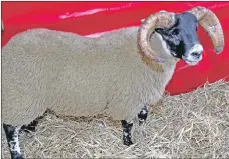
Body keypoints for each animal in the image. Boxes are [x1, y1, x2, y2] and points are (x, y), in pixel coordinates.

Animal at [1, 6, 224, 159]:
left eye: (195, 28)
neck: (148, 54)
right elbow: (127, 124)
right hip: (21, 94)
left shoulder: (141, 95)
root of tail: (8, 49)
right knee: (10, 127)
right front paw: (129, 144)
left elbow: (143, 115)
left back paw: (29, 129)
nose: (197, 53)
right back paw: (17, 154)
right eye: (173, 32)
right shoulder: (127, 98)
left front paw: (143, 131)